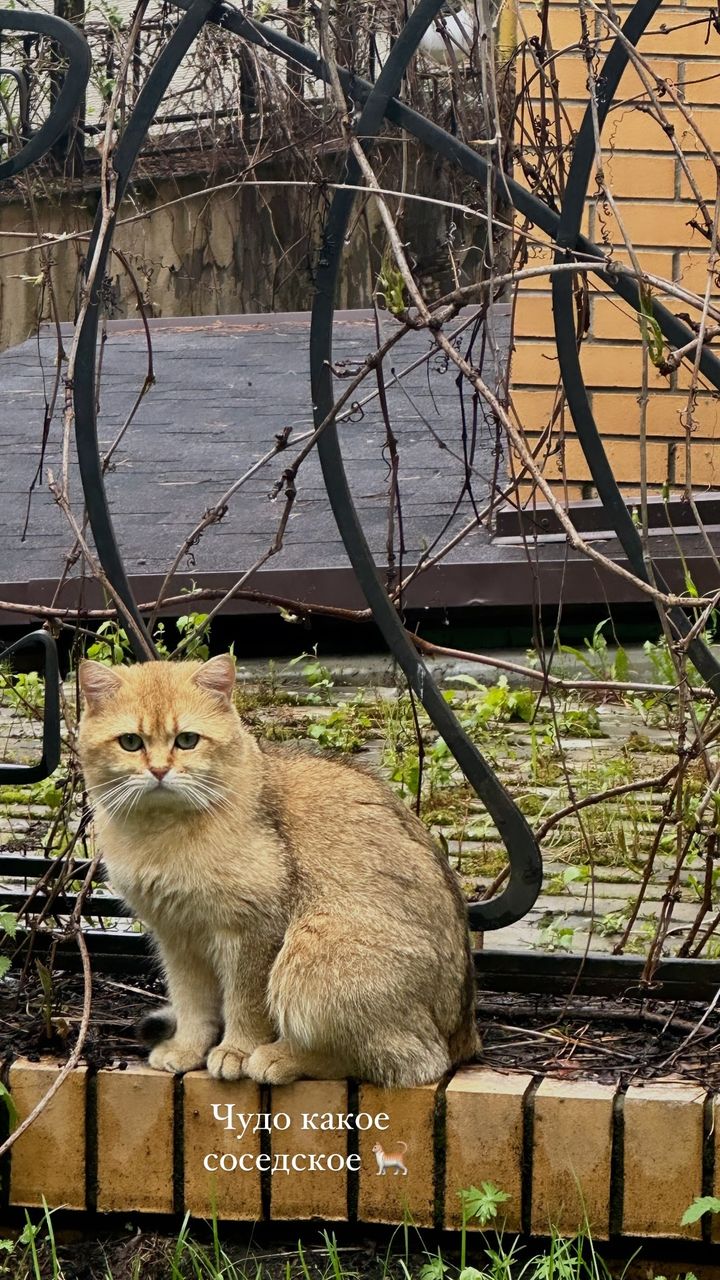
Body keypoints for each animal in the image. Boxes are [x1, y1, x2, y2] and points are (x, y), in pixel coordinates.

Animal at [77, 655, 476, 1085]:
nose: (159, 770)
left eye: (187, 741)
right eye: (131, 742)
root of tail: (464, 1036)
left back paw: (279, 1057)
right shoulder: (177, 938)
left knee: (411, 1061)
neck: (161, 832)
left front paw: (236, 1050)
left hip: (312, 954)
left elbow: (246, 1003)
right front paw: (187, 1049)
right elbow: (191, 1004)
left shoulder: (253, 931)